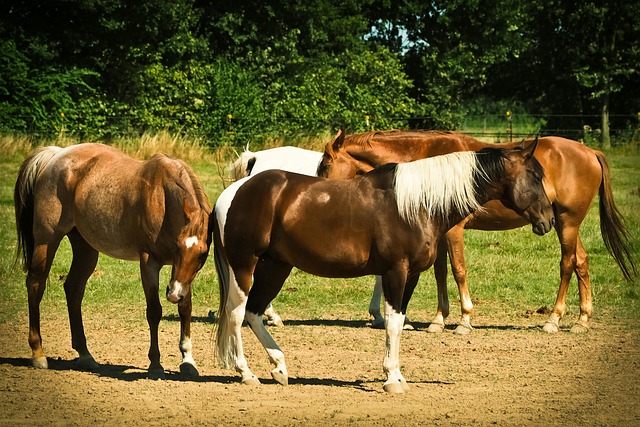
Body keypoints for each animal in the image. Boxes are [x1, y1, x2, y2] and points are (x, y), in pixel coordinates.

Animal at [14, 143, 211, 378]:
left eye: (202, 253)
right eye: (179, 246)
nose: (173, 295)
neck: (162, 199)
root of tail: (56, 155)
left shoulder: (181, 275)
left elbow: (185, 308)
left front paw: (188, 361)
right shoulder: (149, 262)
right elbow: (154, 311)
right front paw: (155, 364)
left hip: (86, 249)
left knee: (73, 289)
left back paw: (85, 354)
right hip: (47, 240)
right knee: (36, 285)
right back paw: (38, 353)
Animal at [213, 137, 554, 392]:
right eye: (535, 176)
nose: (549, 220)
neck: (417, 205)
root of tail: (233, 192)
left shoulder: (411, 275)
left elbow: (400, 322)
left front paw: (398, 374)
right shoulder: (395, 272)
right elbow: (391, 322)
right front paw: (392, 379)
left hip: (276, 267)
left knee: (255, 312)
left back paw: (279, 367)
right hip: (244, 267)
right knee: (237, 313)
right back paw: (247, 373)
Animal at [317, 130, 637, 334]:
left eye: (325, 166)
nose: (319, 193)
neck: (423, 162)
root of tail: (589, 151)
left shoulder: (453, 231)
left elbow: (458, 271)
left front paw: (464, 320)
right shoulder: (438, 232)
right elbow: (440, 272)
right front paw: (438, 320)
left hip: (567, 223)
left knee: (567, 264)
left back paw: (554, 319)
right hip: (562, 222)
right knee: (582, 261)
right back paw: (582, 319)